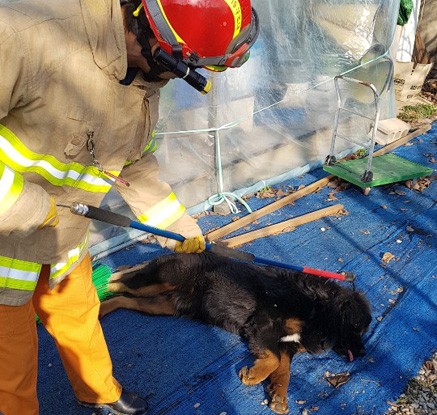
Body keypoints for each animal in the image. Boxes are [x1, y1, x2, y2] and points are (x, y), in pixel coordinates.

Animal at [99, 252, 372, 414]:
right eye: (357, 327)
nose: (363, 352)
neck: (316, 306)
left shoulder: (286, 343)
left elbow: (283, 371)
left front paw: (278, 396)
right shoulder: (264, 322)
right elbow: (273, 361)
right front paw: (254, 375)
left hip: (161, 305)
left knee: (124, 298)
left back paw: (101, 308)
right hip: (161, 282)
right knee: (121, 283)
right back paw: (97, 286)